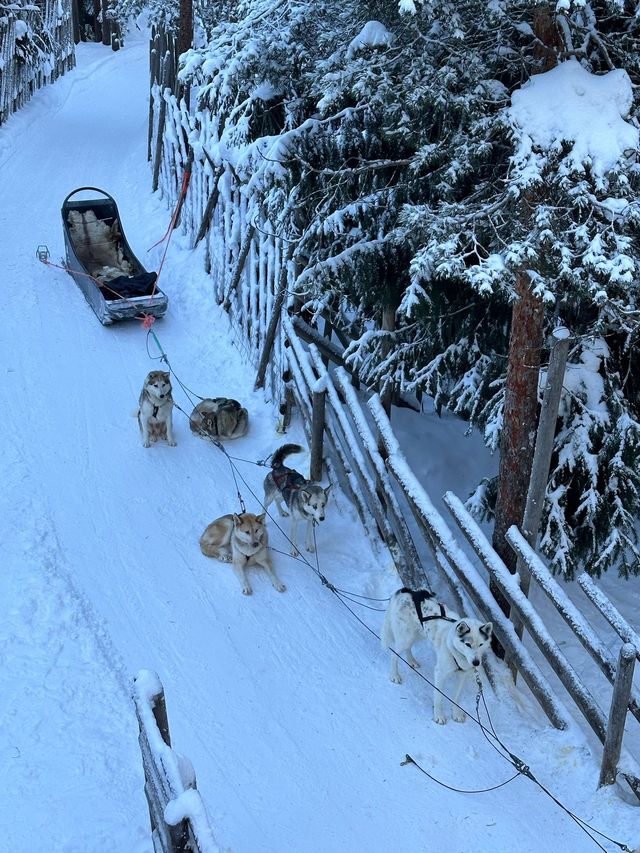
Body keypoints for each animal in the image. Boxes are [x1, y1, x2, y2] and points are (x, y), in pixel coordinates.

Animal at [382, 588, 492, 724]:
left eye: (481, 644)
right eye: (468, 644)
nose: (476, 663)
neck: (454, 649)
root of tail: (406, 591)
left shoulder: (462, 676)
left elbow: (456, 698)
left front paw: (456, 714)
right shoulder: (440, 673)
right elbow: (439, 697)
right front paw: (438, 715)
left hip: (417, 635)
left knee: (408, 648)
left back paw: (412, 661)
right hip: (405, 638)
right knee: (394, 655)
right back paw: (394, 675)